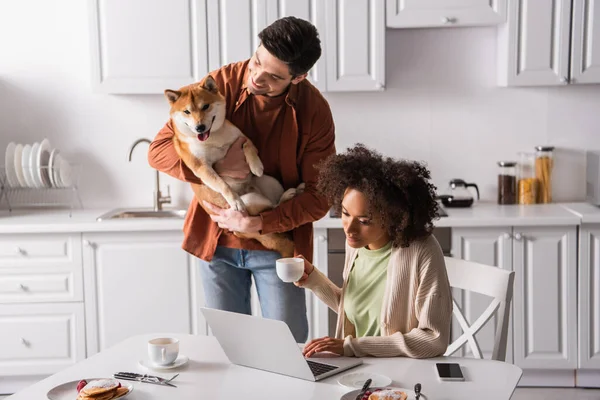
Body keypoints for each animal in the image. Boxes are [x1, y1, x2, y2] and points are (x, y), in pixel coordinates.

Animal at [164, 75, 302, 256]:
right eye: (187, 112)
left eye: (205, 106)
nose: (199, 127)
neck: (213, 138)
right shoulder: (201, 167)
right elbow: (222, 184)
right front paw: (234, 200)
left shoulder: (242, 138)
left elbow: (248, 146)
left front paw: (256, 166)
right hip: (250, 201)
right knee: (268, 211)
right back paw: (289, 194)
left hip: (269, 182)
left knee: (272, 209)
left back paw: (292, 192)